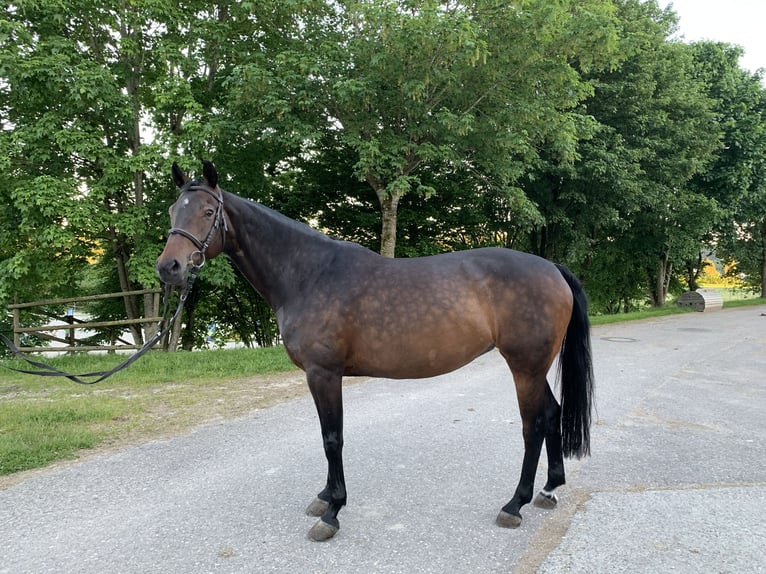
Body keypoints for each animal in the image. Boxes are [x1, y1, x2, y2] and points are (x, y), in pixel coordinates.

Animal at [154, 162, 592, 544]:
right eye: (175, 209)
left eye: (208, 211)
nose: (169, 267)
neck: (308, 275)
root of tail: (552, 268)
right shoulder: (320, 376)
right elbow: (327, 436)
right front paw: (325, 498)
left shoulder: (323, 373)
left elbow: (332, 438)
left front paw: (333, 513)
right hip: (533, 369)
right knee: (552, 414)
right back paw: (549, 489)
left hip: (525, 367)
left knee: (533, 425)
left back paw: (515, 504)